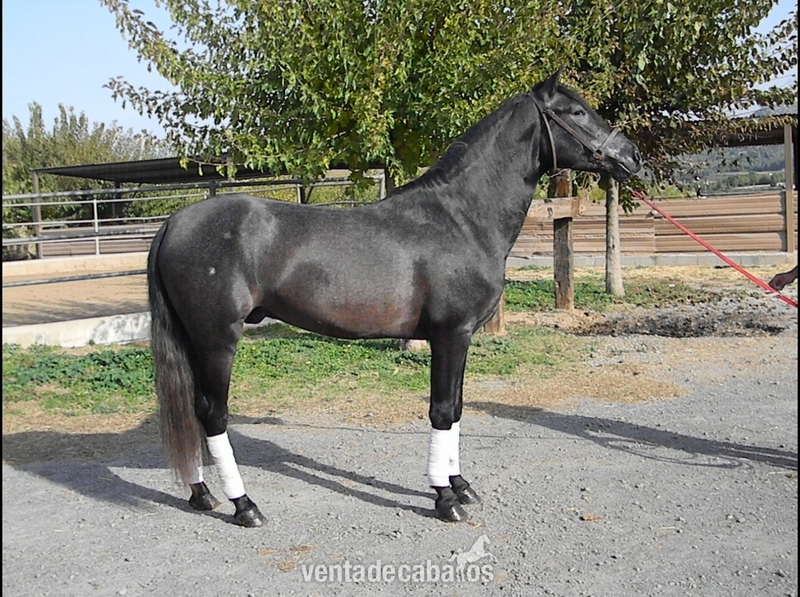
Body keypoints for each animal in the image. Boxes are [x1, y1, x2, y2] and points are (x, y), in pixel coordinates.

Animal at [147, 70, 643, 527]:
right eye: (575, 111)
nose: (632, 157)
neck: (460, 218)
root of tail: (175, 222)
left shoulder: (460, 338)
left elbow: (457, 408)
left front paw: (461, 486)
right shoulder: (450, 335)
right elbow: (441, 411)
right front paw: (444, 499)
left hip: (195, 340)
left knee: (188, 410)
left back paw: (201, 494)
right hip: (217, 339)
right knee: (212, 415)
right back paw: (244, 506)